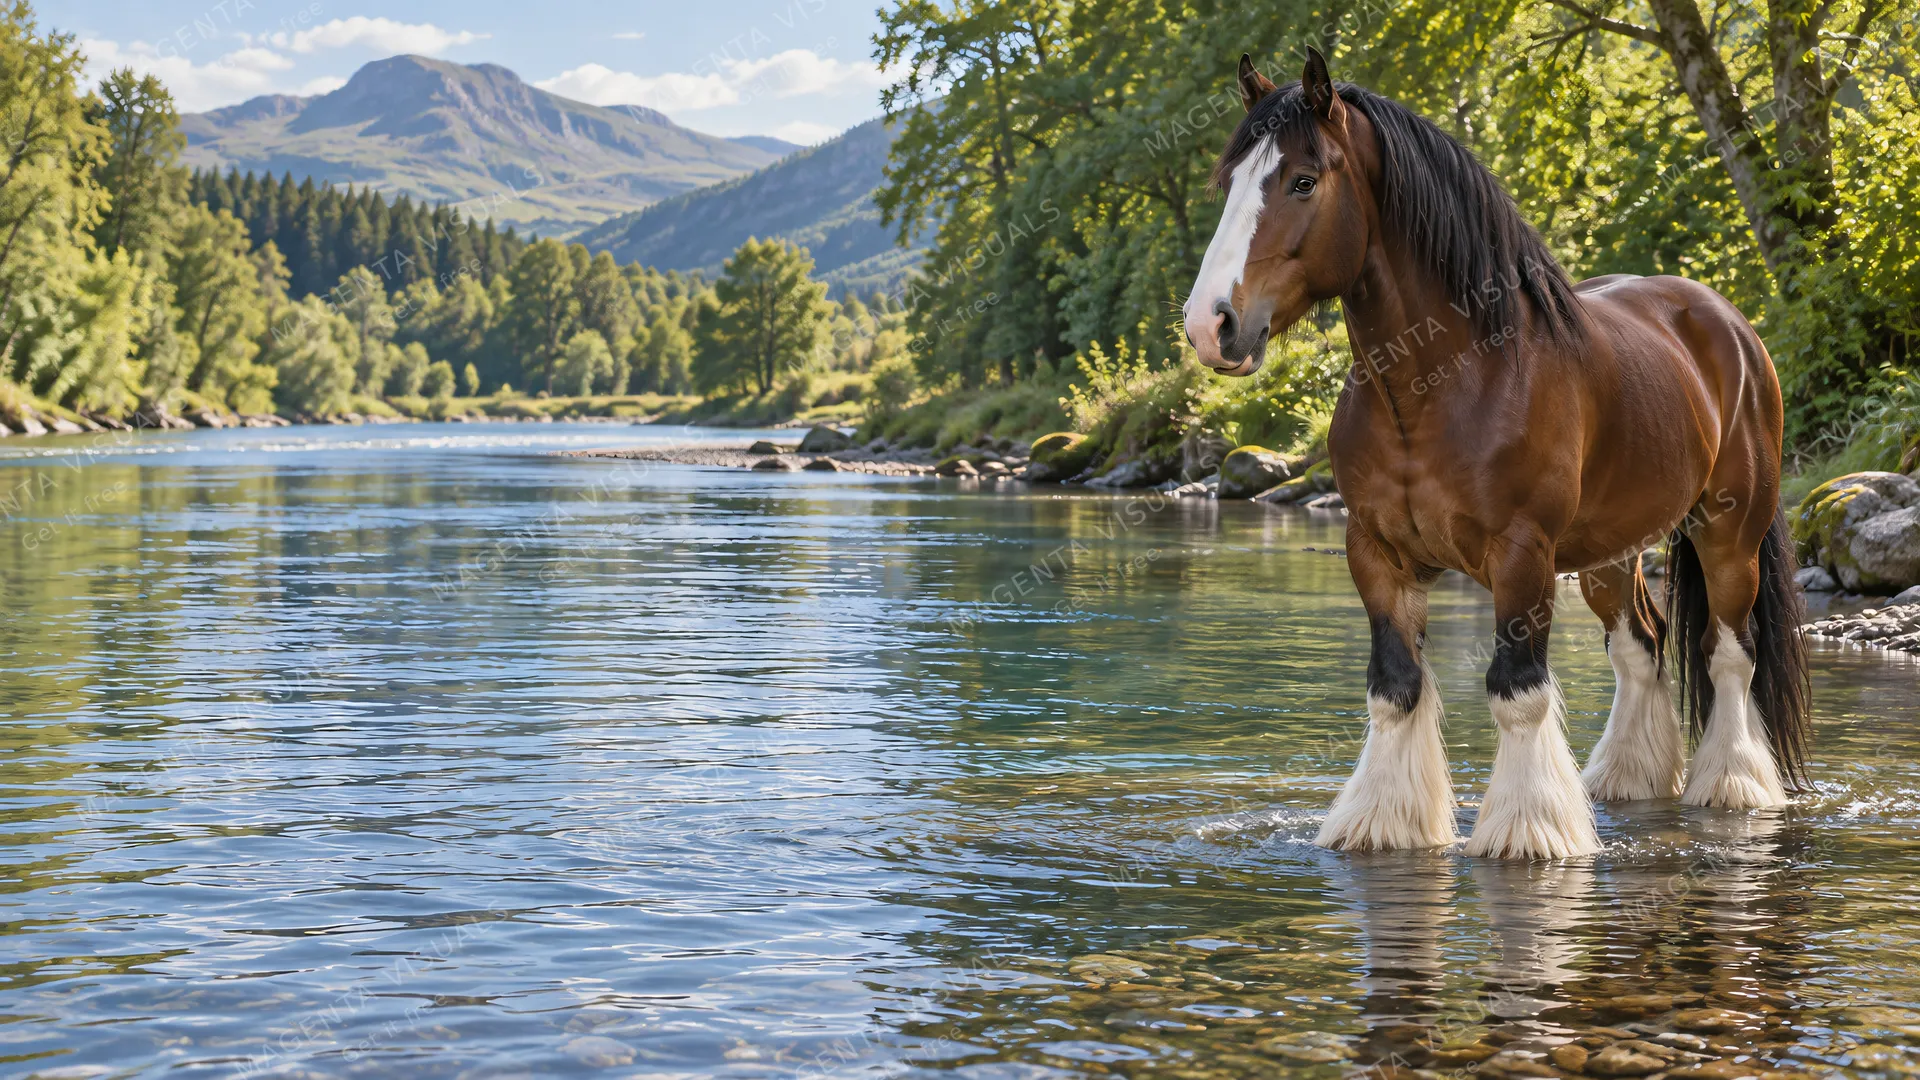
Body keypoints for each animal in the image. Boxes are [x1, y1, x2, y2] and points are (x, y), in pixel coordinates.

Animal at [1182, 48, 1810, 859]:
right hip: (1610, 550)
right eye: (1230, 182)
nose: (1211, 325)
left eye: (1302, 179)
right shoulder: (1376, 553)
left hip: (1727, 532)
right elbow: (1395, 688)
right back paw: (1624, 779)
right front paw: (1384, 823)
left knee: (1728, 651)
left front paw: (1529, 829)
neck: (1443, 382)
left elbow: (1518, 693)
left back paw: (1732, 785)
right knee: (1640, 646)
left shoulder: (1521, 556)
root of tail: (1729, 325)